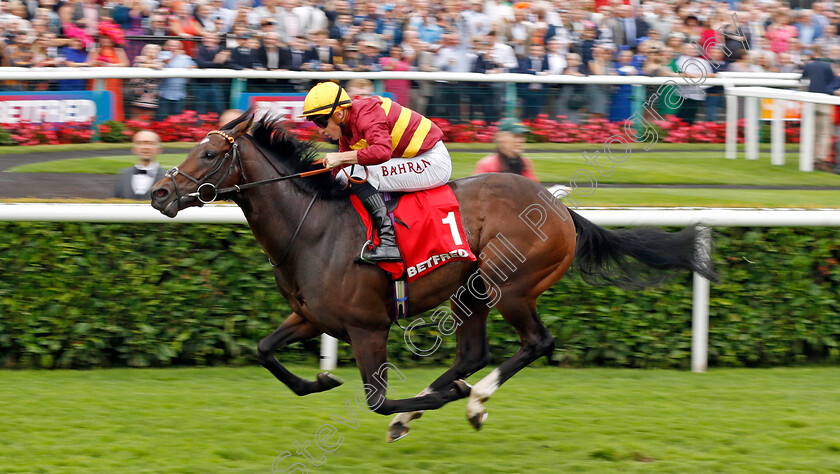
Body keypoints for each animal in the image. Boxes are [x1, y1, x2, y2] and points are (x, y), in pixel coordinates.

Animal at [149, 113, 716, 442]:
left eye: (209, 153)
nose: (159, 193)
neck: (313, 228)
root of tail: (558, 208)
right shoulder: (311, 317)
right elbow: (265, 350)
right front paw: (321, 379)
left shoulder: (367, 326)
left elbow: (376, 400)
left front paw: (433, 401)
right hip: (472, 290)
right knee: (472, 352)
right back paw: (445, 399)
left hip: (509, 285)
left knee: (535, 342)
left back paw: (473, 401)